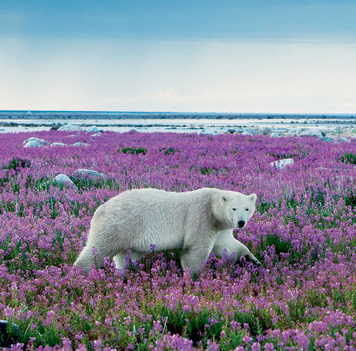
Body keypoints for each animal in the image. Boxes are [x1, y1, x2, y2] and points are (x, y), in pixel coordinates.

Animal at [74, 188, 258, 276]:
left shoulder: (221, 228)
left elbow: (228, 246)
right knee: (98, 249)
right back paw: (82, 273)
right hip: (118, 225)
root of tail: (100, 209)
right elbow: (196, 250)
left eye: (247, 208)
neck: (212, 208)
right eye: (234, 208)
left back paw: (123, 274)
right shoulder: (201, 217)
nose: (241, 222)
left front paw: (252, 259)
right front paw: (192, 276)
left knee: (125, 257)